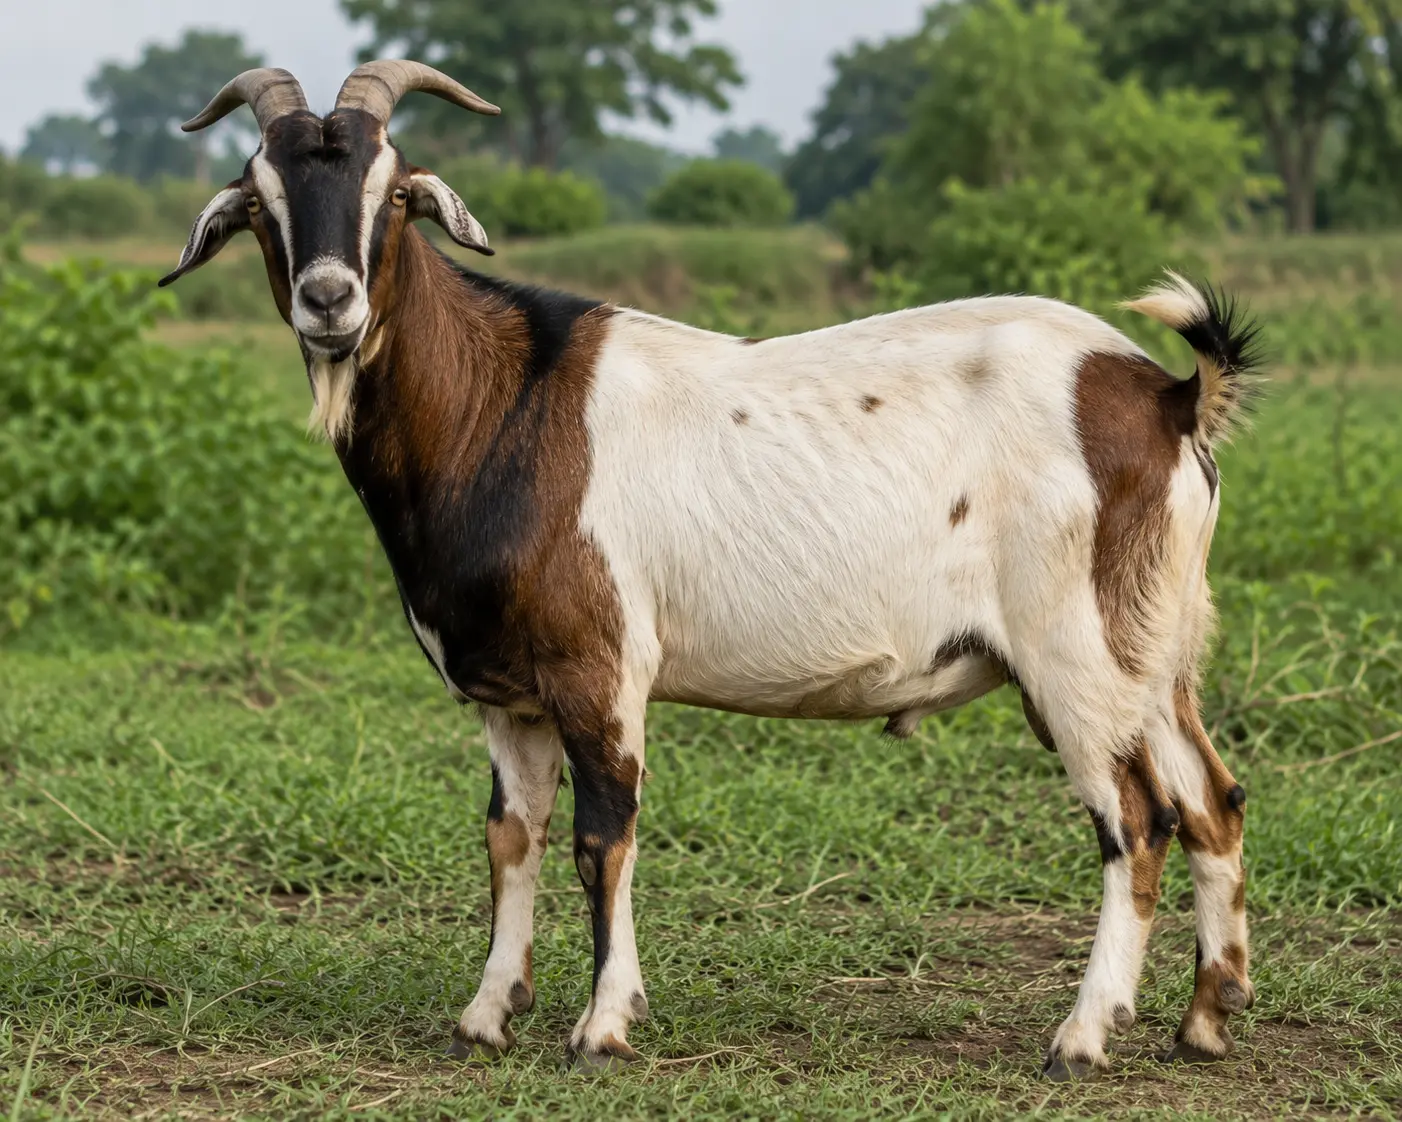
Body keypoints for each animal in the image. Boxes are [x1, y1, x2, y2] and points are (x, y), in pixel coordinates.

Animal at [161, 62, 1262, 1078]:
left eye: (394, 193)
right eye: (258, 200)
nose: (329, 301)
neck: (500, 405)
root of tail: (1168, 397)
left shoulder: (599, 666)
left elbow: (602, 838)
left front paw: (602, 1026)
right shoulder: (507, 693)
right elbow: (511, 836)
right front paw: (485, 1015)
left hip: (1072, 650)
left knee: (1138, 820)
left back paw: (1082, 1036)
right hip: (1152, 652)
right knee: (1212, 800)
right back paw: (1205, 1021)